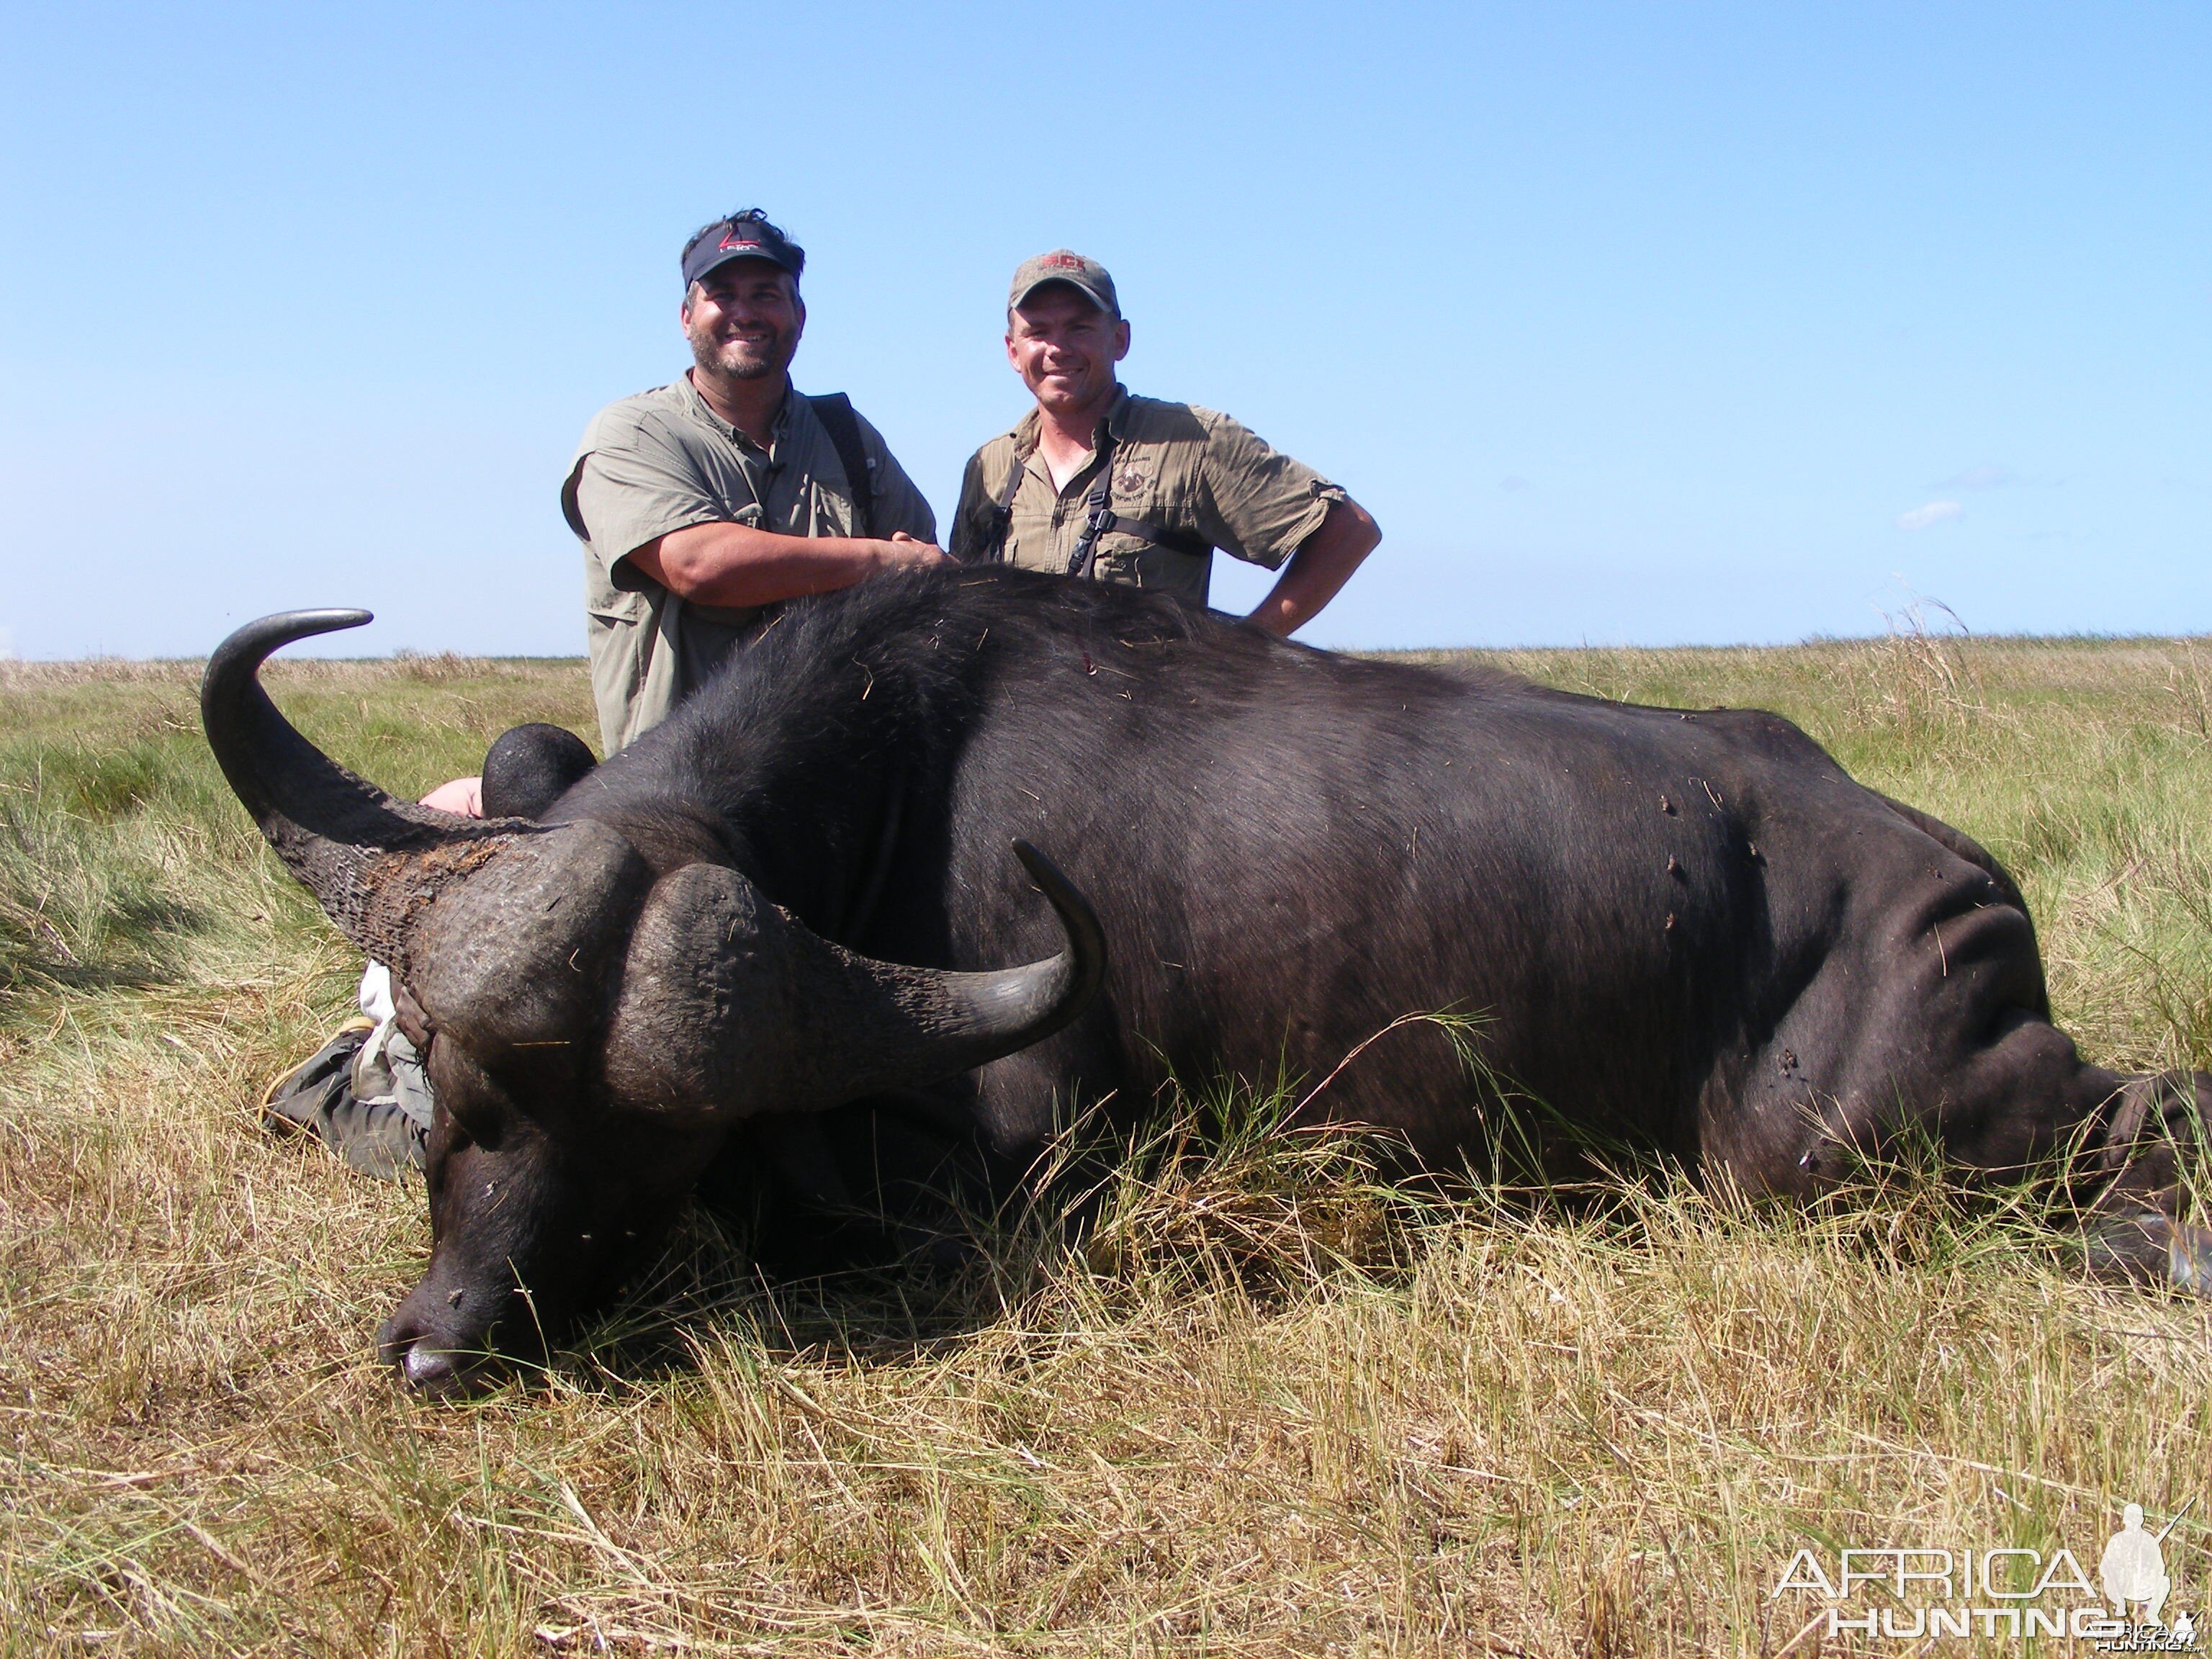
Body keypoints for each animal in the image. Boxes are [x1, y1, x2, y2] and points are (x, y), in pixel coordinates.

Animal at [199, 566, 2203, 1398]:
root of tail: (1960, 887)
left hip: (1842, 1152)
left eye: (651, 1150)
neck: (897, 781)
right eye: (459, 1098)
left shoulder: (1025, 1165)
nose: (438, 1346)